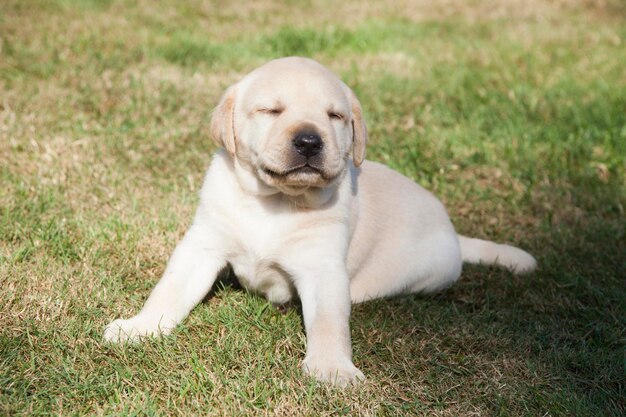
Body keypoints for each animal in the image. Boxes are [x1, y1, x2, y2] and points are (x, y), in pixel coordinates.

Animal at [105, 57, 532, 386]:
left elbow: (329, 321)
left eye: (335, 116)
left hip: (432, 273)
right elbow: (170, 291)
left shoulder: (322, 266)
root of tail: (456, 234)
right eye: (271, 110)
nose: (310, 142)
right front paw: (140, 327)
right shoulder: (203, 244)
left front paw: (332, 368)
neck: (276, 201)